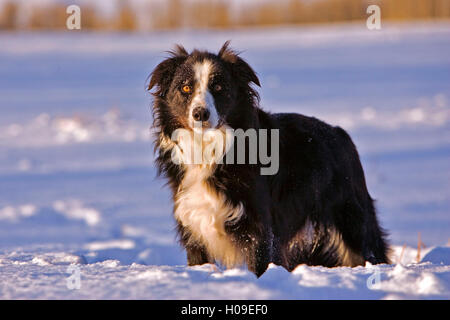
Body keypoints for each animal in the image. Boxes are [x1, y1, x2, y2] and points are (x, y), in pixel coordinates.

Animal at [149, 42, 390, 278]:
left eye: (218, 87)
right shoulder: (194, 224)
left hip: (350, 215)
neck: (210, 149)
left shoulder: (260, 225)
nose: (200, 114)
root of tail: (341, 134)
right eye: (185, 88)